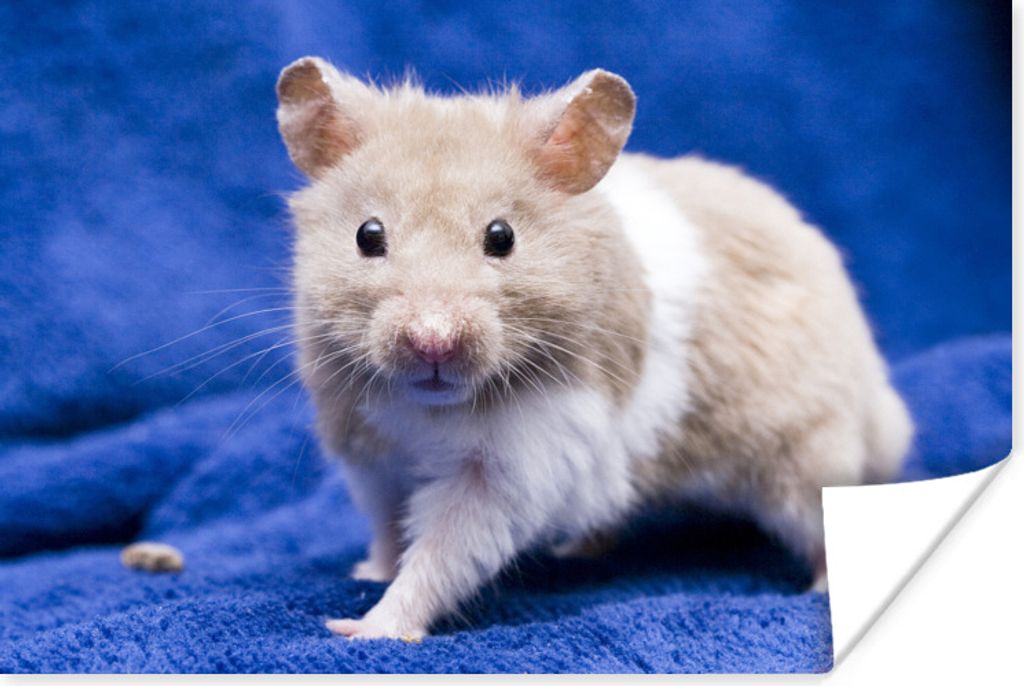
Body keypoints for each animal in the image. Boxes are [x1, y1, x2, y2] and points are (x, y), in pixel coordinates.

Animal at [274, 58, 913, 640]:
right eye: (368, 236)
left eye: (502, 237)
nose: (433, 340)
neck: (428, 409)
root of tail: (868, 374)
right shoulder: (368, 450)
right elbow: (387, 526)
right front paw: (369, 574)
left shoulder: (510, 470)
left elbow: (442, 554)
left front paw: (362, 628)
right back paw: (576, 549)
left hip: (804, 456)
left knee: (820, 521)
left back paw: (819, 587)